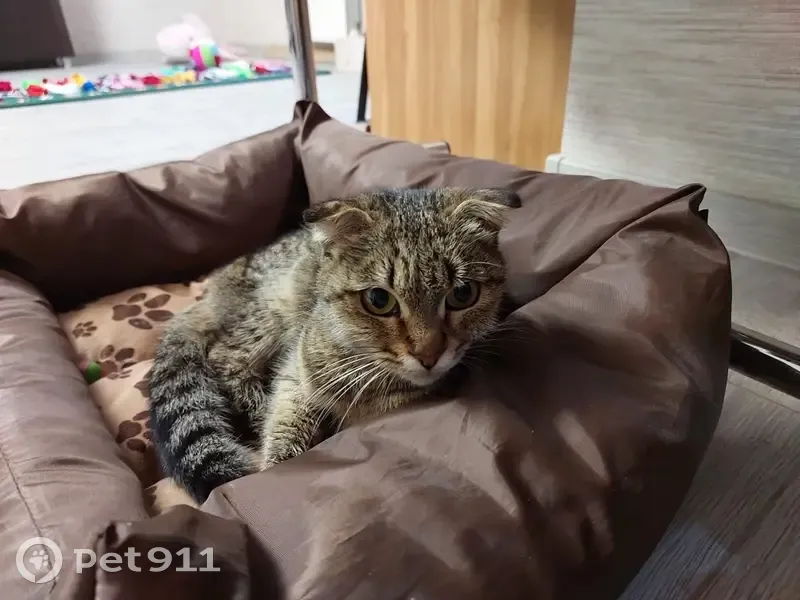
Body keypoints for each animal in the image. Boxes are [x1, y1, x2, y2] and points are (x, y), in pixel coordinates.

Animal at [147, 187, 521, 503]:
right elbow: (285, 426)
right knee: (225, 358)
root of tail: (214, 288)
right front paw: (274, 463)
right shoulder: (297, 371)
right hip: (270, 311)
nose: (428, 354)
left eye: (463, 294)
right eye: (379, 299)